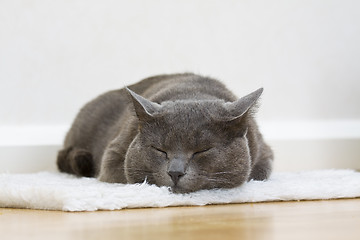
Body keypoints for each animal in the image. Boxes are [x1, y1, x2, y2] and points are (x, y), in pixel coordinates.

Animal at [57, 73, 272, 193]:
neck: (191, 93)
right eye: (159, 150)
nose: (175, 172)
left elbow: (258, 173)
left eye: (202, 151)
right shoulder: (113, 154)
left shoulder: (265, 155)